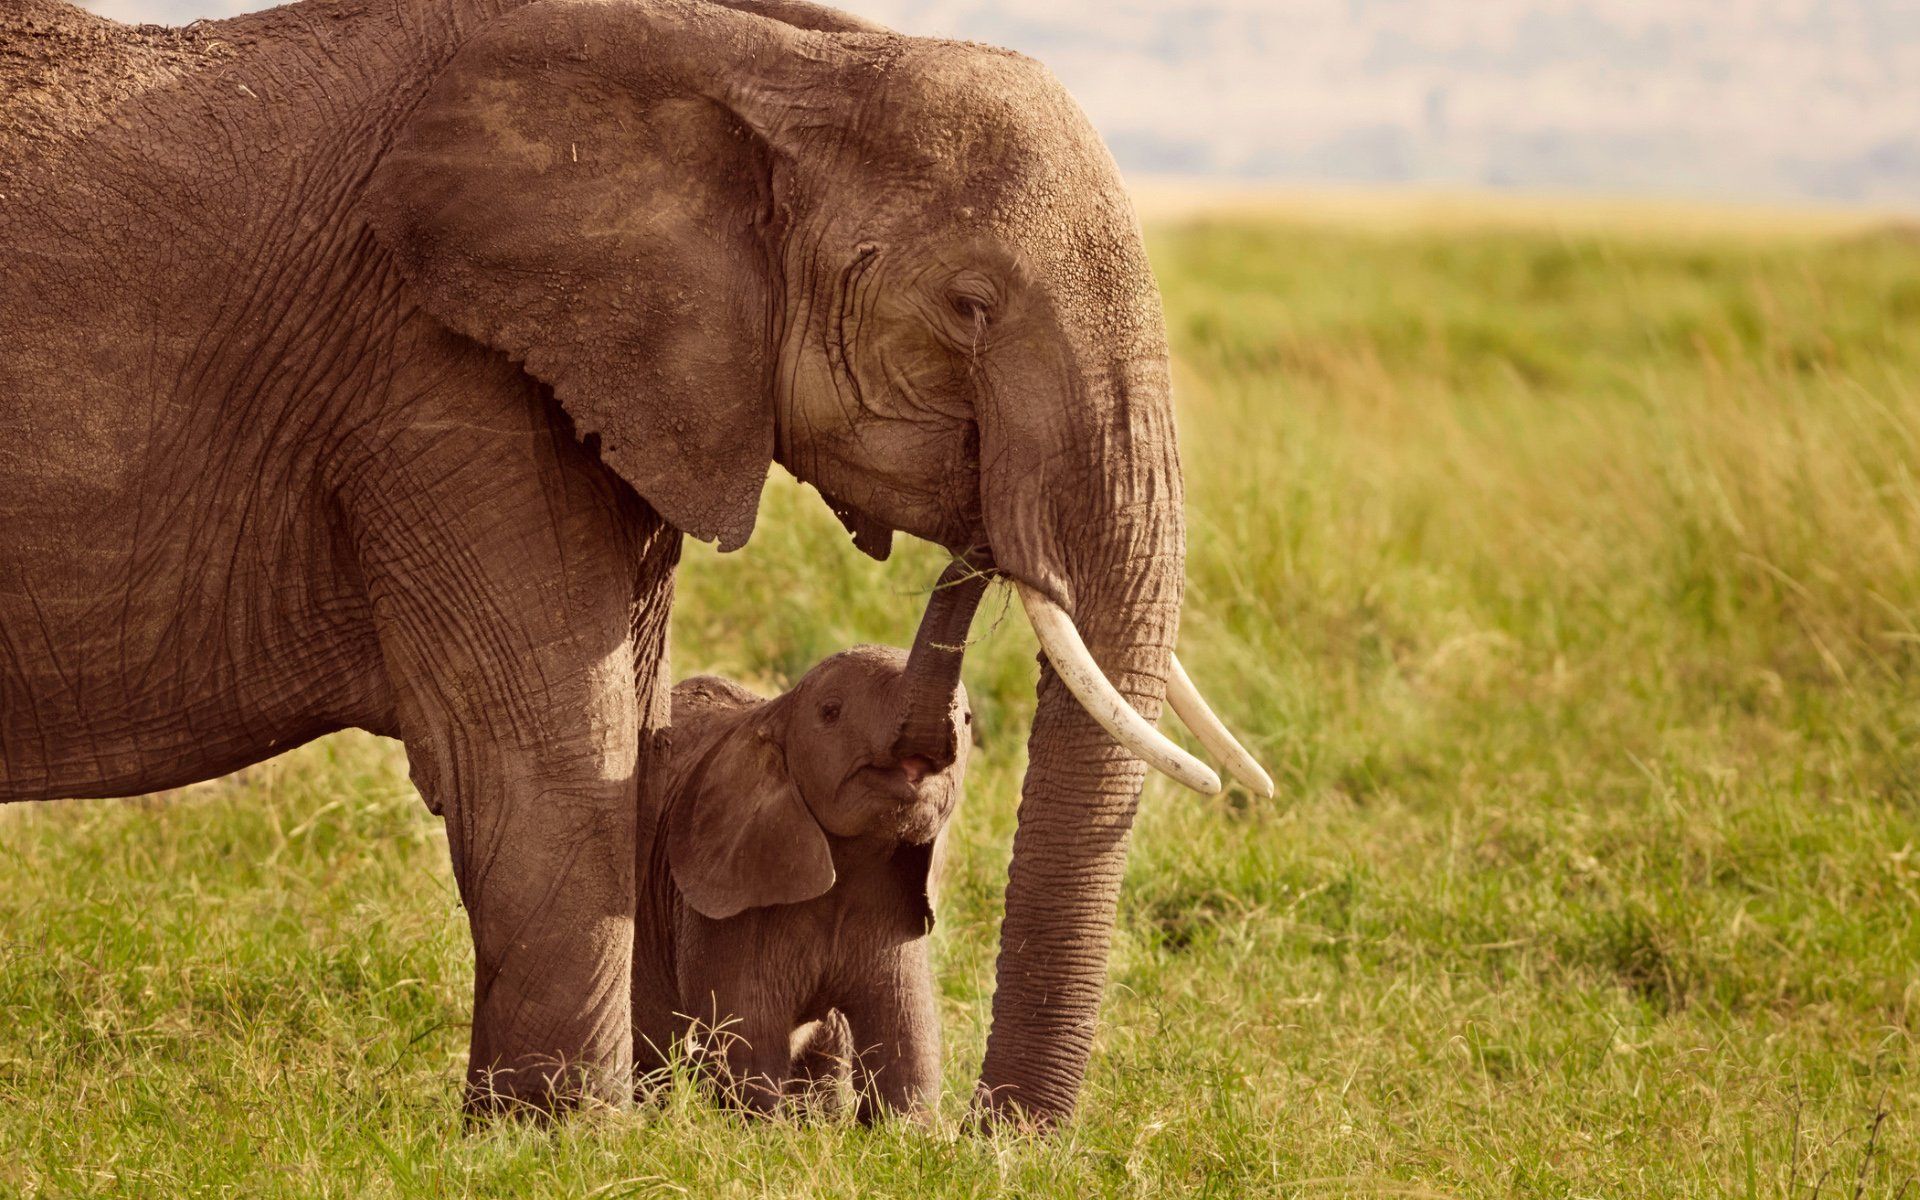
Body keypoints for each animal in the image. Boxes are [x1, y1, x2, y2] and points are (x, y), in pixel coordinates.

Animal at [633, 641, 969, 1122]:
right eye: (830, 712)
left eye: (968, 720)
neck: (779, 710)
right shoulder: (722, 905)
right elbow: (748, 1042)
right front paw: (762, 1130)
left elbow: (907, 1042)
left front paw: (906, 1132)